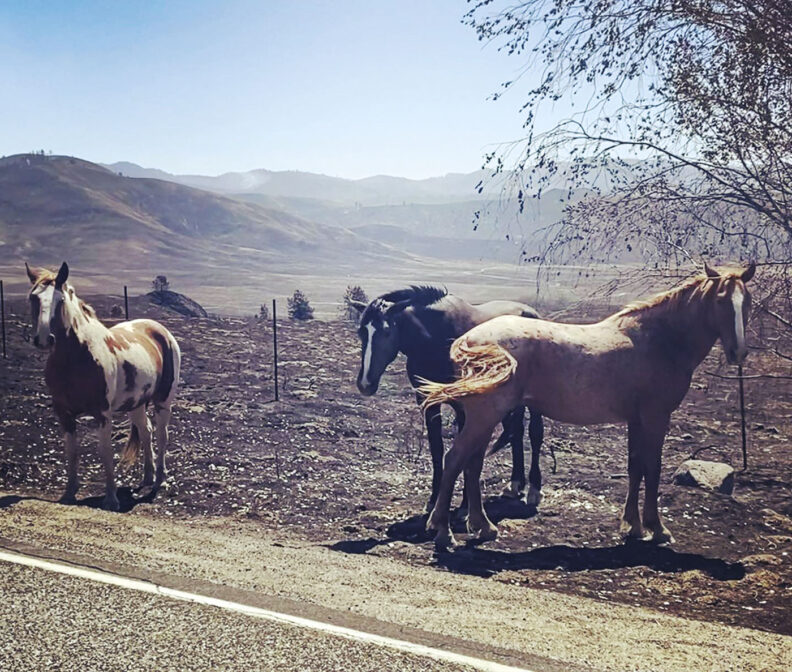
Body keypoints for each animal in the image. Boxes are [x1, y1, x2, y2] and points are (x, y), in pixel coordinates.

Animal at [26, 262, 181, 511]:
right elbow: (72, 452)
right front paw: (69, 493)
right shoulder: (64, 413)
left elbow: (105, 451)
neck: (75, 359)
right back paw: (147, 477)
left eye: (60, 300)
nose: (43, 339)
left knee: (162, 435)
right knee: (146, 431)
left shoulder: (102, 414)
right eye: (33, 298)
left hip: (163, 402)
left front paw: (111, 498)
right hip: (136, 404)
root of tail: (159, 330)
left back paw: (159, 480)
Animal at [351, 285, 544, 512]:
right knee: (517, 431)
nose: (365, 383)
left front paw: (465, 506)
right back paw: (515, 485)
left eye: (386, 331)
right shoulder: (427, 402)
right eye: (361, 332)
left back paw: (534, 491)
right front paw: (434, 500)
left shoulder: (464, 406)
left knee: (535, 433)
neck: (437, 340)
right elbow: (437, 449)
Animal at [419, 263, 755, 548]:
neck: (658, 340)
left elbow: (636, 467)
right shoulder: (656, 418)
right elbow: (653, 468)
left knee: (472, 465)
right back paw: (444, 532)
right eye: (721, 301)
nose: (738, 352)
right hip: (485, 416)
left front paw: (633, 526)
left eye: (747, 301)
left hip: (485, 419)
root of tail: (467, 340)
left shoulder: (636, 420)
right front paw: (657, 529)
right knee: (455, 460)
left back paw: (483, 527)